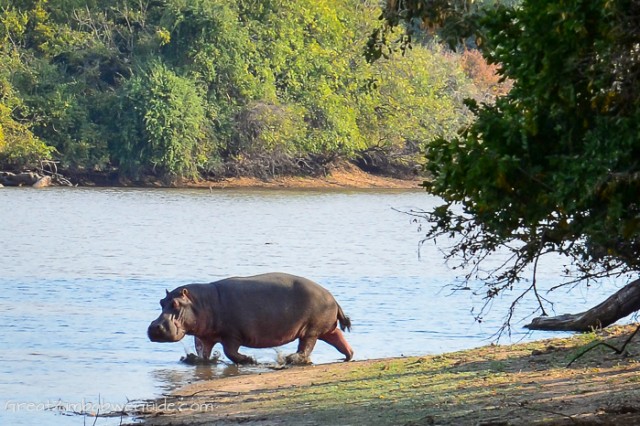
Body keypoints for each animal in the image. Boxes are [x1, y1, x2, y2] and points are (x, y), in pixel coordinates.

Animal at [148, 272, 352, 364]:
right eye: (161, 301)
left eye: (175, 304)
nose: (154, 327)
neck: (201, 303)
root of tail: (332, 298)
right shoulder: (205, 336)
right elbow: (202, 352)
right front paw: (198, 361)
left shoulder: (231, 335)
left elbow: (230, 352)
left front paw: (250, 360)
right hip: (325, 329)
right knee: (338, 338)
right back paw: (348, 356)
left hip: (311, 330)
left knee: (306, 346)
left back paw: (291, 358)